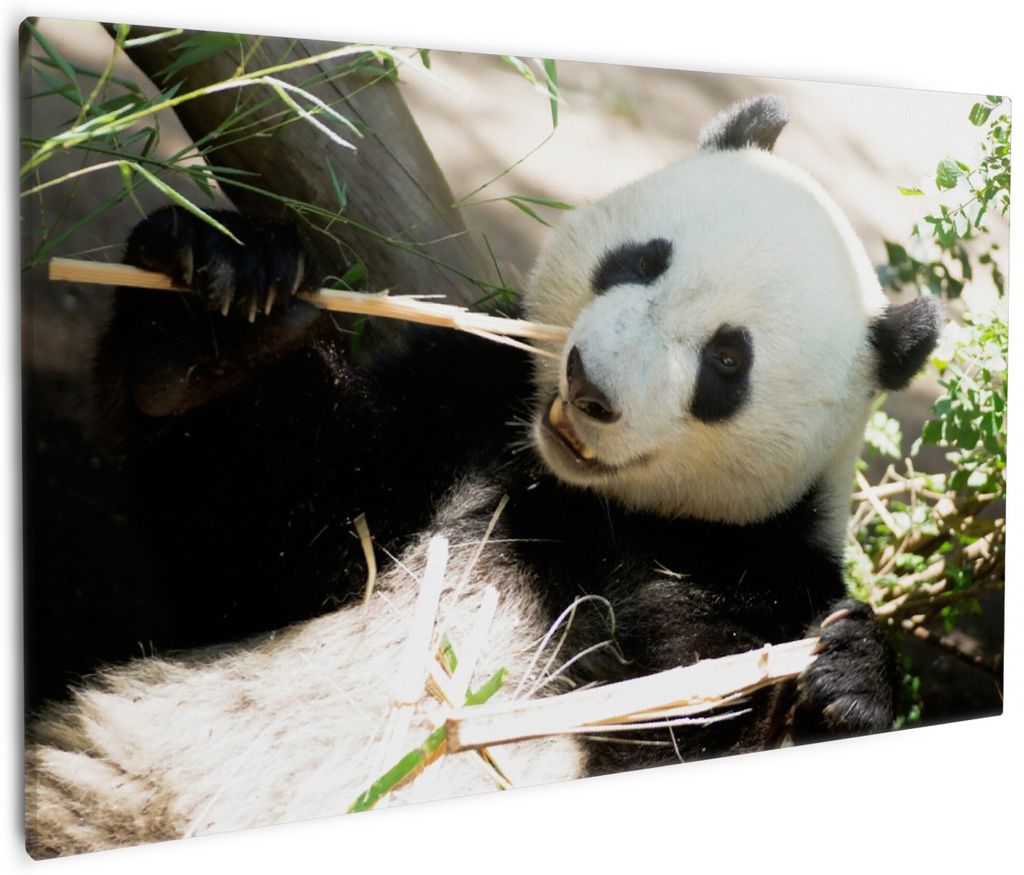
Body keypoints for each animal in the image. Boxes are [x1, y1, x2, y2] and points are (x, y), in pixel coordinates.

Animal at [25, 96, 942, 858]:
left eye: (726, 360)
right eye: (640, 260)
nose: (589, 386)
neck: (585, 500)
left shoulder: (752, 567)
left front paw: (845, 683)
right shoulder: (467, 401)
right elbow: (273, 558)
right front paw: (218, 312)